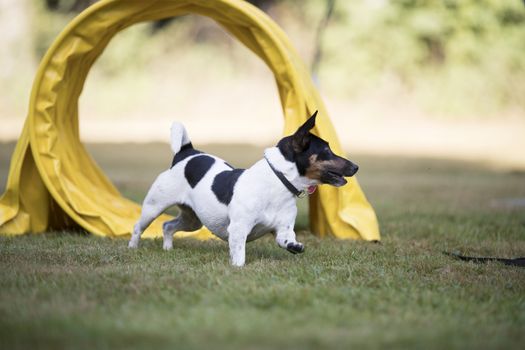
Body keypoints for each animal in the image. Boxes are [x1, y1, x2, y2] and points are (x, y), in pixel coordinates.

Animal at [128, 110, 358, 266]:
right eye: (326, 151)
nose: (356, 166)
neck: (277, 182)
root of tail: (185, 153)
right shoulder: (238, 229)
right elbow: (238, 255)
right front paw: (238, 268)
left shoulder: (283, 230)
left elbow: (287, 241)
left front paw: (295, 246)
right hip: (153, 207)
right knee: (139, 227)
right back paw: (132, 248)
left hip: (193, 219)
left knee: (168, 226)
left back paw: (167, 249)